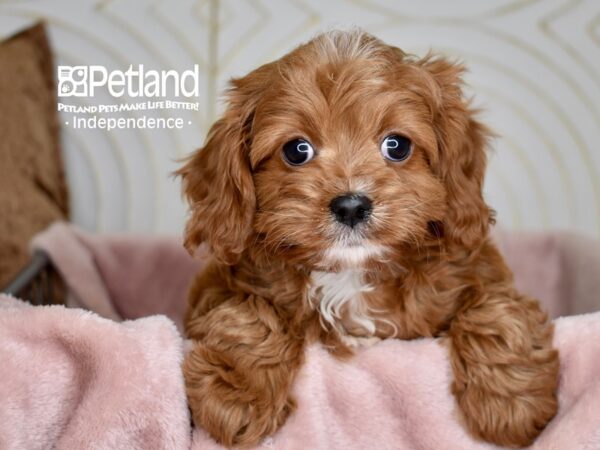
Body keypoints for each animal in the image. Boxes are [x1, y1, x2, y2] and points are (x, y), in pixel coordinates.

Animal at [177, 29, 556, 448]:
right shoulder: (218, 286)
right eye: (297, 150)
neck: (351, 273)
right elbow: (248, 311)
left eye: (397, 145)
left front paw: (510, 404)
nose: (351, 206)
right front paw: (237, 397)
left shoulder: (481, 272)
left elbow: (497, 310)